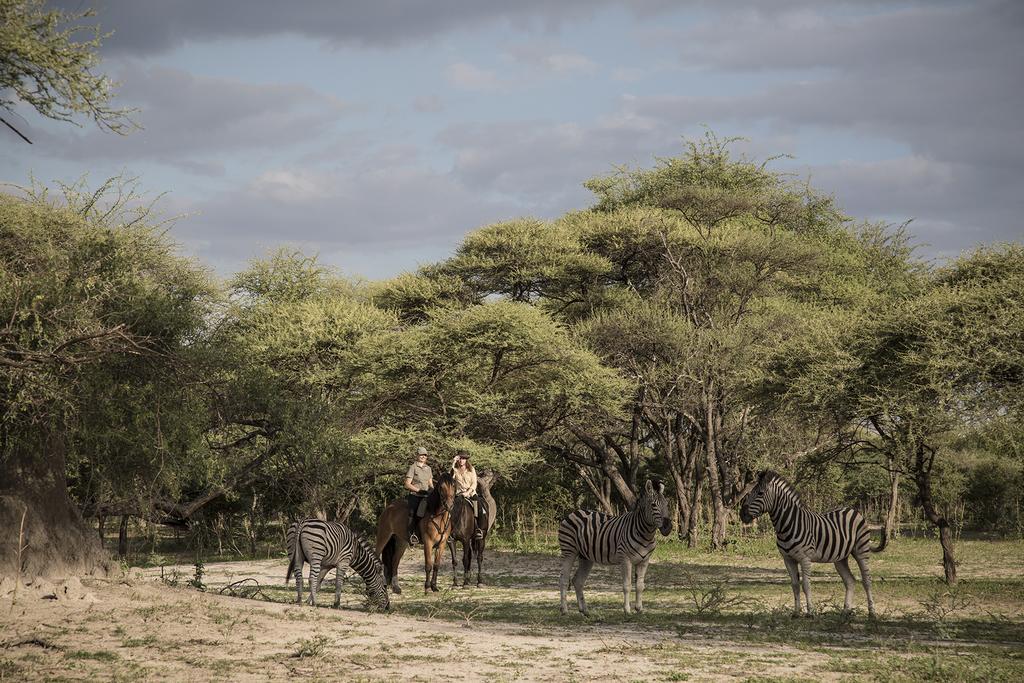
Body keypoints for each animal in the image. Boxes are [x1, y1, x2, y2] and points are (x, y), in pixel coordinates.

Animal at [561, 479, 671, 618]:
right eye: (653, 505)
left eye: (666, 504)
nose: (668, 527)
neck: (645, 534)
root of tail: (574, 512)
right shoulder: (625, 559)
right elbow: (627, 585)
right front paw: (627, 610)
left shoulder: (644, 561)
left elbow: (640, 586)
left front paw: (639, 609)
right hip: (569, 551)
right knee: (564, 579)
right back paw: (564, 611)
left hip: (585, 557)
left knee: (578, 581)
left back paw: (584, 610)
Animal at [741, 471, 884, 618]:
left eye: (760, 493)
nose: (742, 514)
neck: (788, 525)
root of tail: (851, 509)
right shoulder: (788, 559)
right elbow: (795, 585)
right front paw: (796, 612)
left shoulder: (805, 558)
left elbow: (806, 585)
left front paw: (810, 612)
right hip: (840, 558)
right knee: (850, 581)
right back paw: (846, 611)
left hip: (861, 550)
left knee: (867, 580)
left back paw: (872, 612)